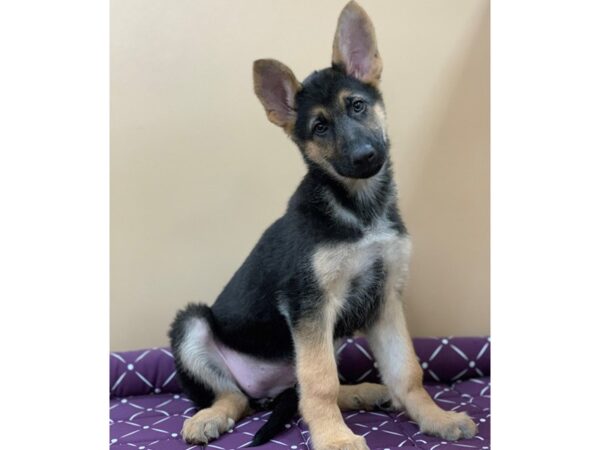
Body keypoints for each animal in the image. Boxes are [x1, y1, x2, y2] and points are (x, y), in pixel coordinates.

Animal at [169, 1, 478, 448]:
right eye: (319, 127)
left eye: (357, 106)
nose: (366, 157)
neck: (360, 210)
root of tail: (266, 391)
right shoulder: (309, 305)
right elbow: (320, 383)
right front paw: (335, 438)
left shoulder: (385, 299)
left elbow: (407, 370)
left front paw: (435, 417)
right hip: (194, 324)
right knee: (237, 396)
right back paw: (210, 416)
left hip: (325, 338)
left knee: (295, 392)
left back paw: (364, 391)